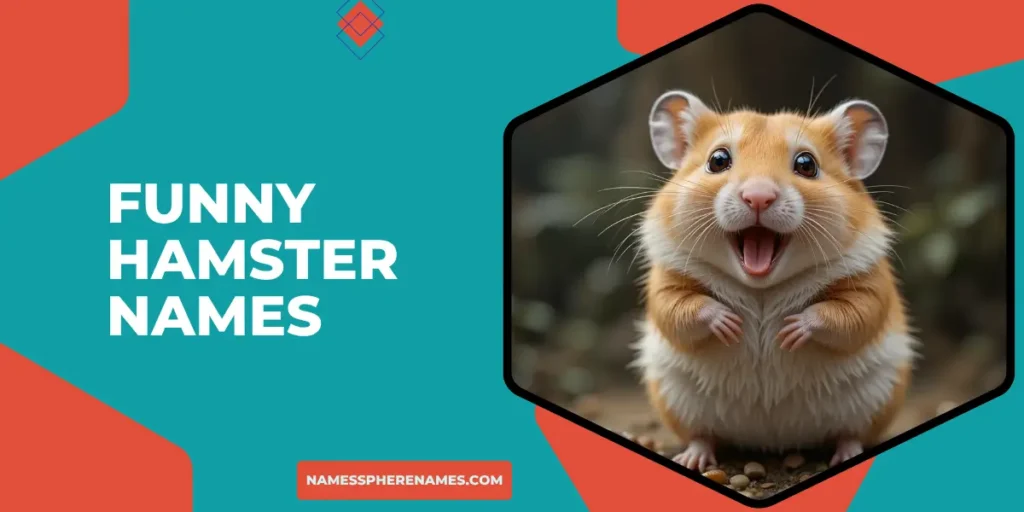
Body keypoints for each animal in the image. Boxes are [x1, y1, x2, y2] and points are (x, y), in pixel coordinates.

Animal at [631, 90, 917, 471]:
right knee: (701, 435)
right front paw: (731, 324)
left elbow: (849, 314)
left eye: (807, 164)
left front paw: (789, 331)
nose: (758, 197)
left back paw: (846, 452)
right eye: (718, 160)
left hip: (876, 400)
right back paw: (693, 458)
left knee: (851, 433)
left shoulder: (868, 283)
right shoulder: (668, 279)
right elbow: (680, 309)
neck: (761, 289)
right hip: (675, 401)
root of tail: (771, 442)